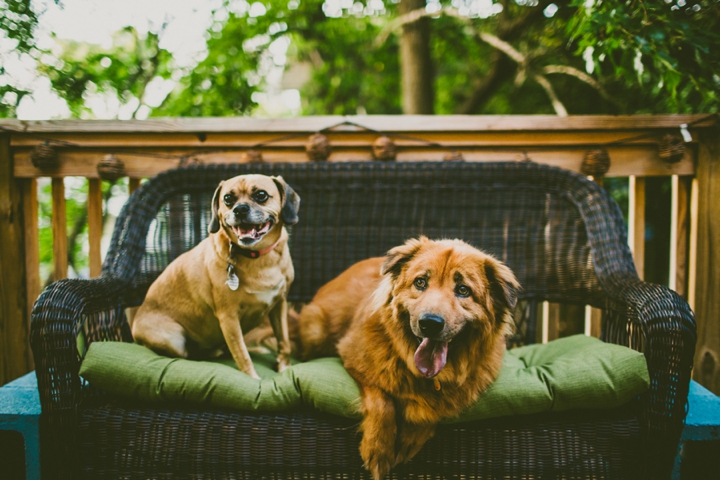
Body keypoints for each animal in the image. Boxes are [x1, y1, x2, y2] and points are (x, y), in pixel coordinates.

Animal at [131, 173, 298, 378]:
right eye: (227, 199)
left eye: (261, 195)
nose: (240, 209)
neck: (256, 256)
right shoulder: (229, 318)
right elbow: (241, 354)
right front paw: (253, 378)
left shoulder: (280, 305)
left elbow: (284, 341)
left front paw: (284, 366)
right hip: (173, 339)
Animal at [296, 237, 516, 480]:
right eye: (420, 282)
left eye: (462, 290)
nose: (430, 323)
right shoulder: (353, 359)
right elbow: (382, 401)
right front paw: (378, 448)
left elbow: (434, 408)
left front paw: (410, 439)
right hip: (316, 330)